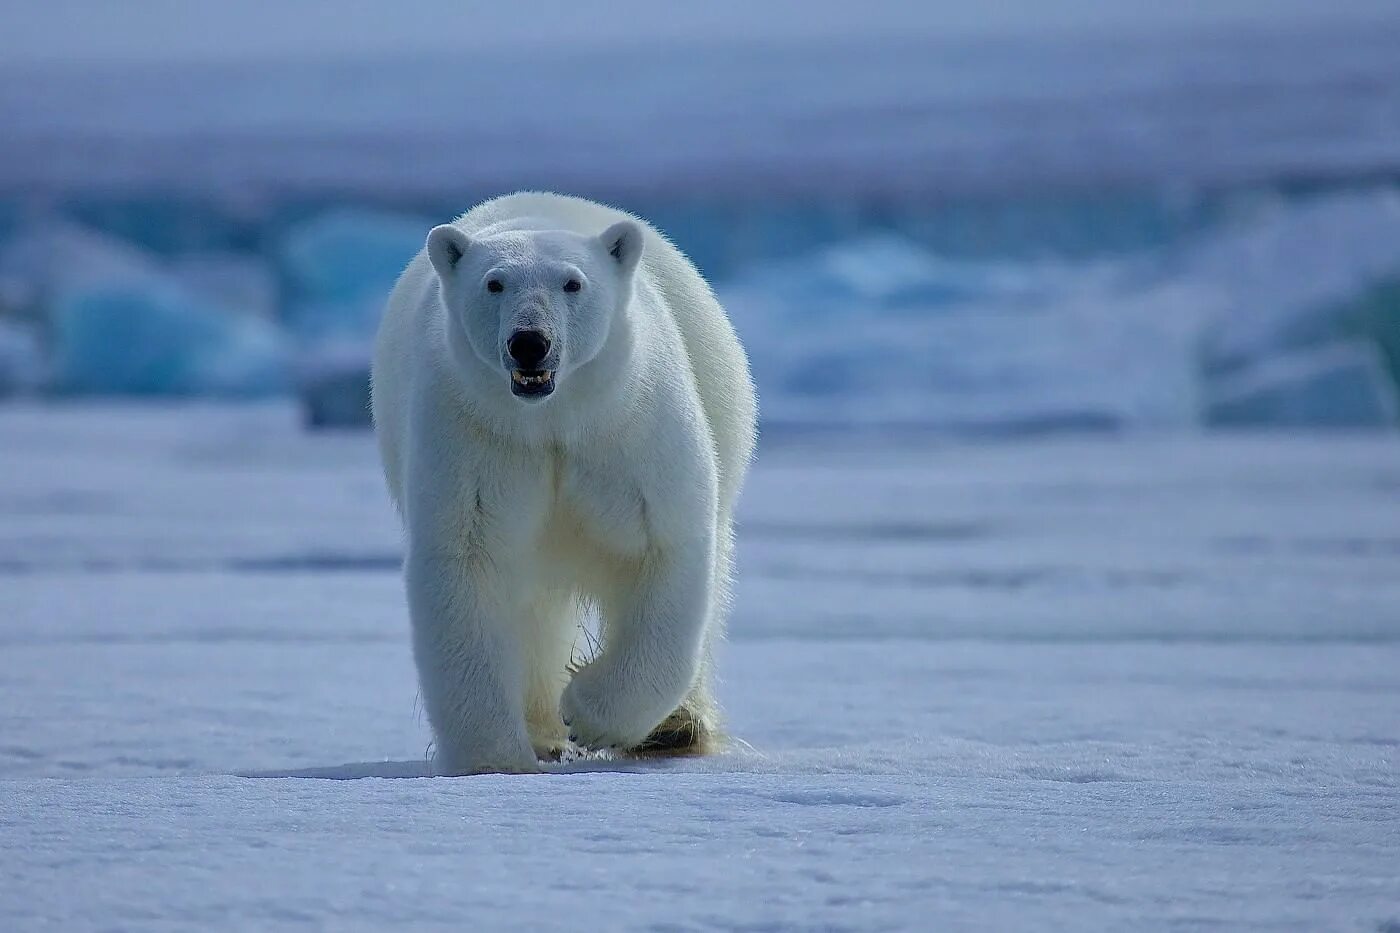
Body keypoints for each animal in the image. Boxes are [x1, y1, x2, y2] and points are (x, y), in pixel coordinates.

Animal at [372, 189, 756, 767]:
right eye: (494, 282)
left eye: (572, 282)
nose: (529, 342)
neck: (550, 419)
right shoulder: (475, 434)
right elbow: (466, 561)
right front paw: (494, 758)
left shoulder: (626, 427)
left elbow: (665, 545)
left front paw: (589, 715)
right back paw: (542, 733)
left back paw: (674, 728)